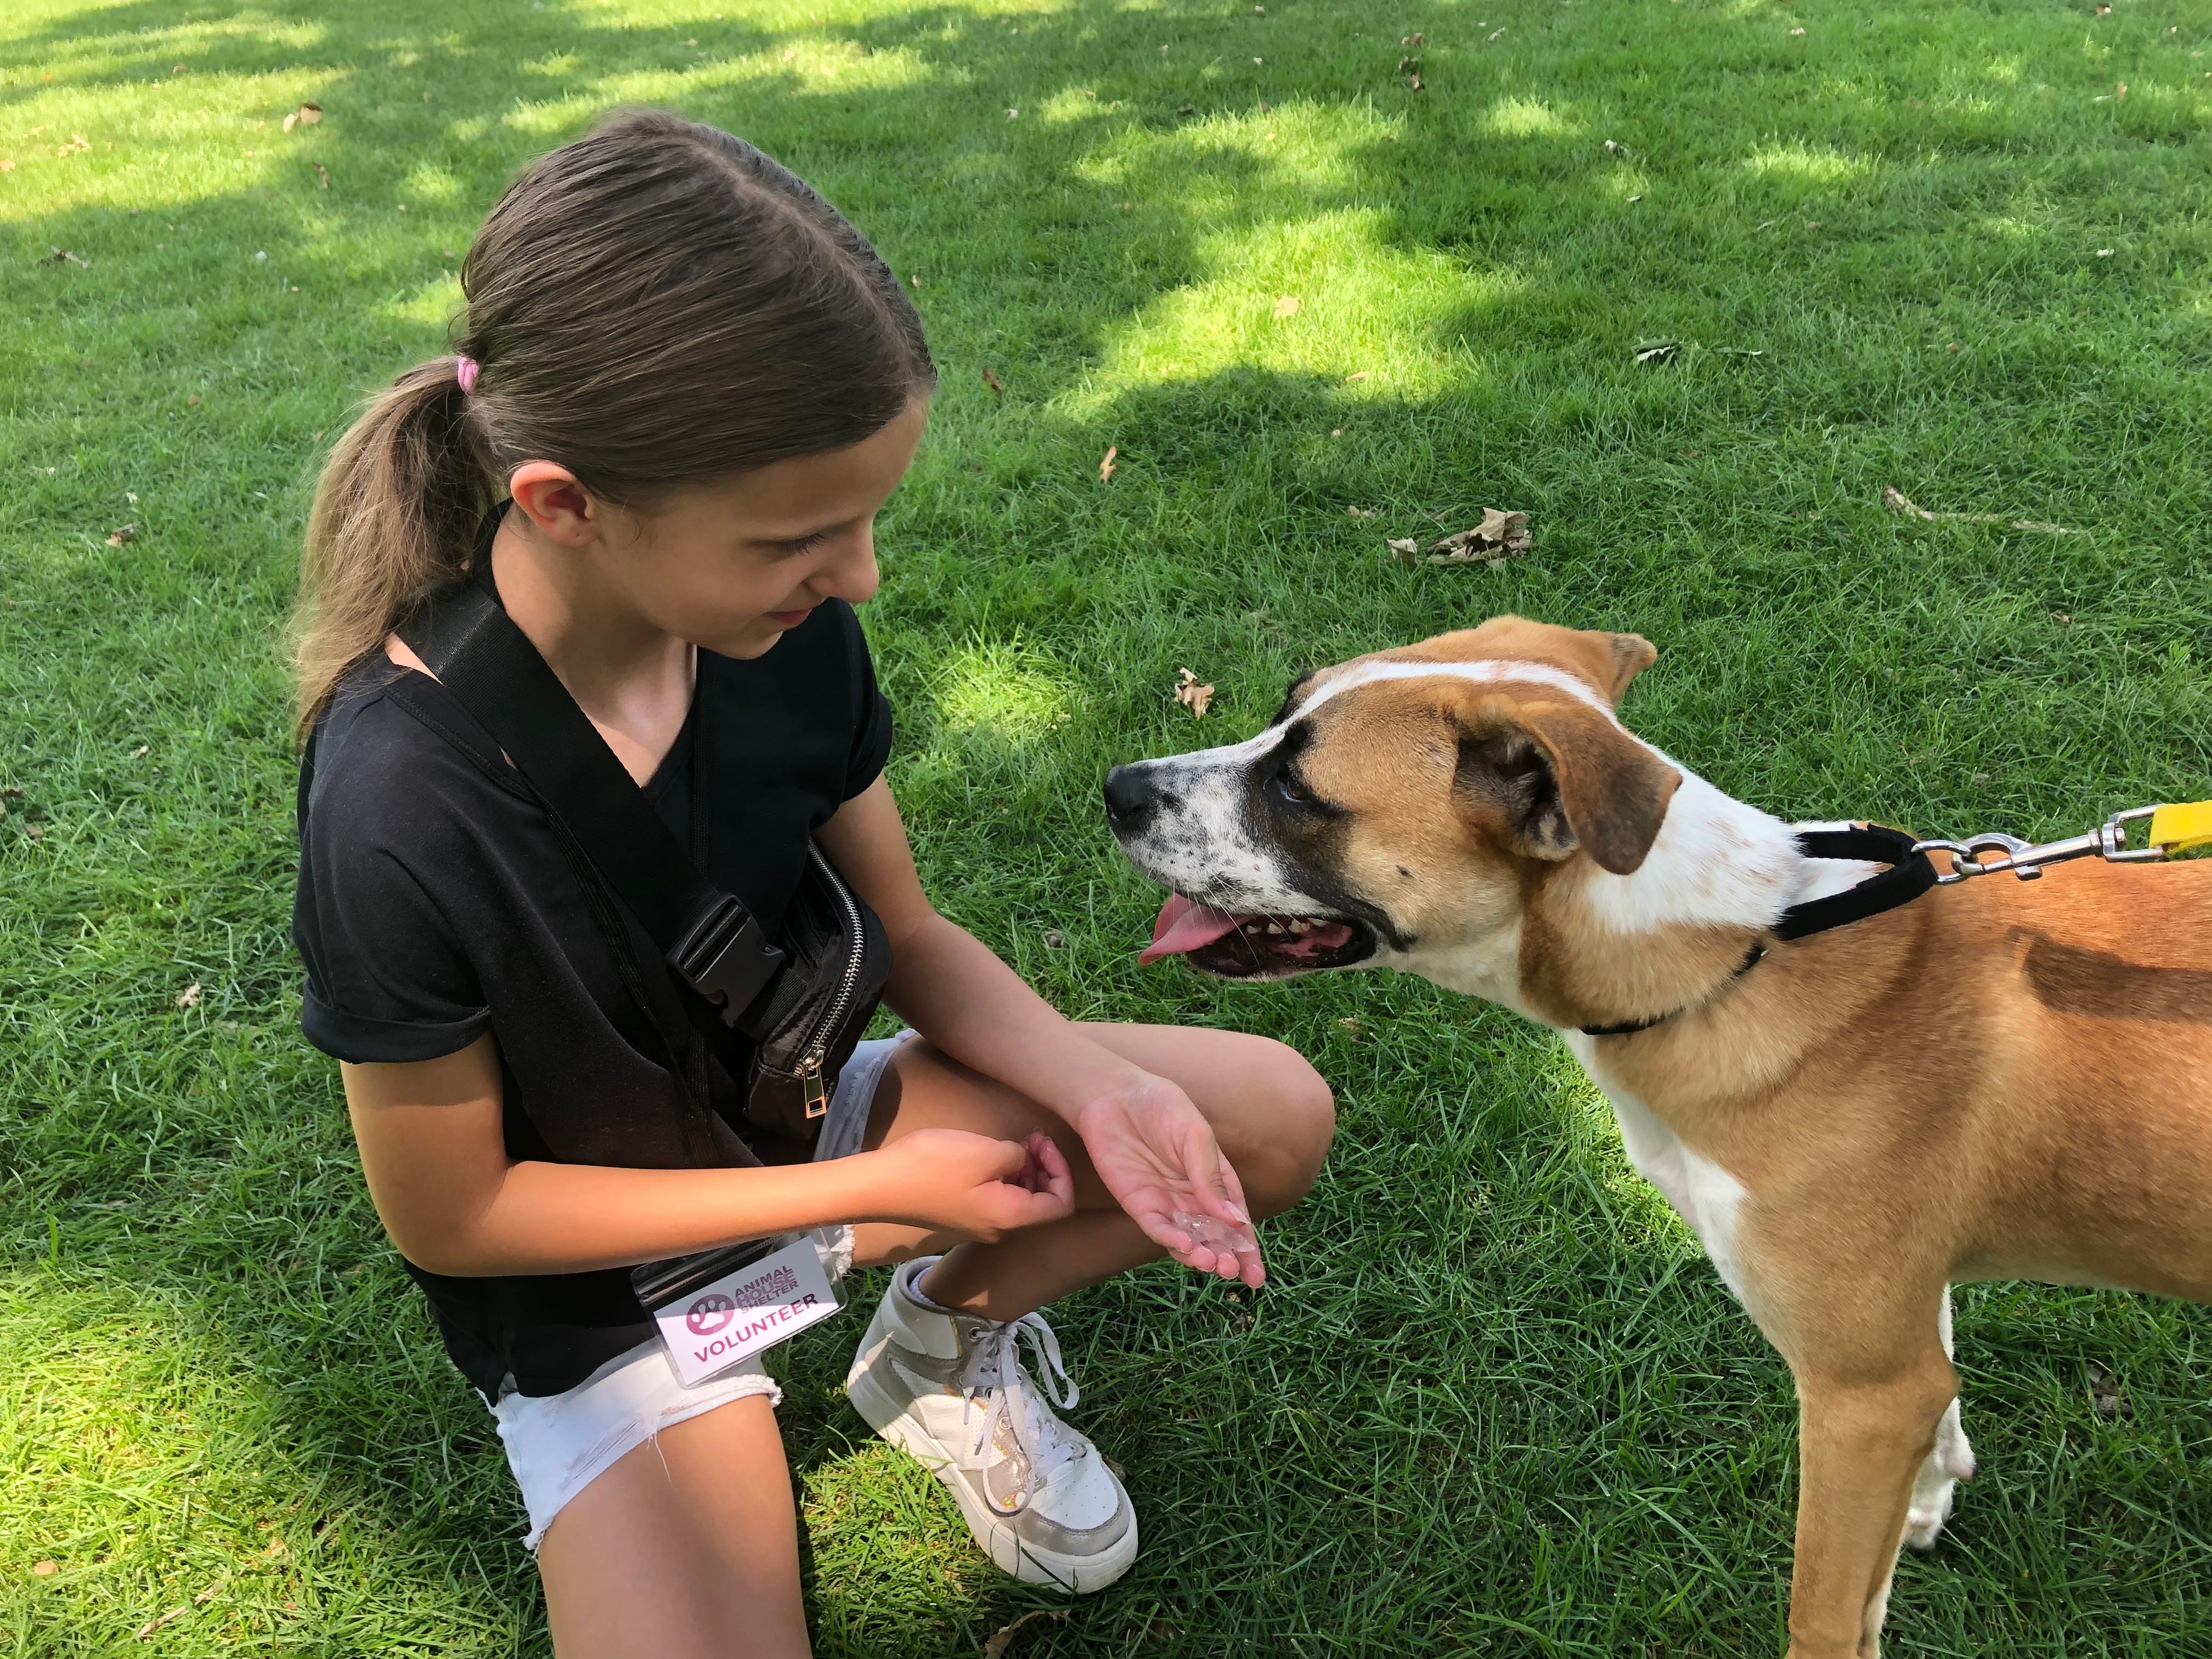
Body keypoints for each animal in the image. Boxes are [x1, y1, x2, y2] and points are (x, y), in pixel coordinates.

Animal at [1106, 619, 2212, 1654]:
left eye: (1296, 784)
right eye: (1281, 711)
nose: (1116, 787)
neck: (1736, 958)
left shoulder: (1859, 1395)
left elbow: (1824, 1611)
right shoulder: (1904, 1333)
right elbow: (1940, 1409)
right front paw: (1929, 1506)